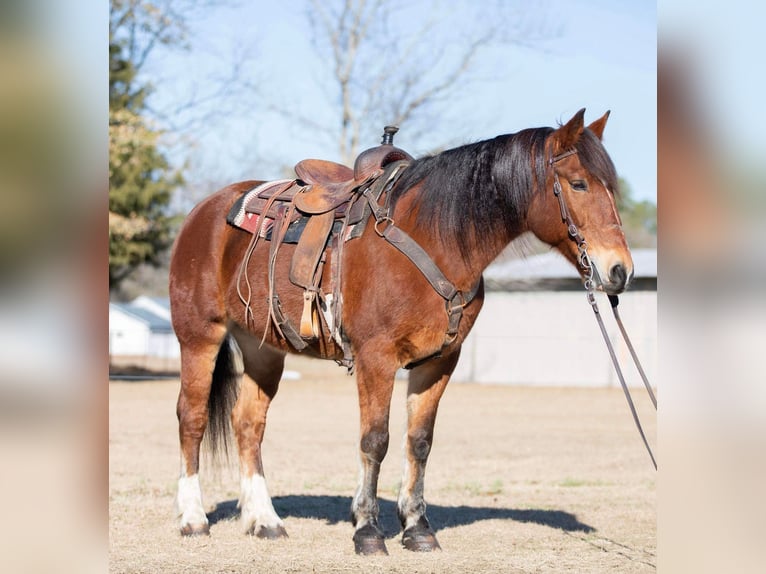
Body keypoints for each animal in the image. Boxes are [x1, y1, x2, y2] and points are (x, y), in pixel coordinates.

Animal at [172, 109, 636, 560]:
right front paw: (367, 531)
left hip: (264, 349)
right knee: (192, 418)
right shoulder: (376, 359)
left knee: (249, 424)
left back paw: (264, 520)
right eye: (578, 183)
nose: (620, 270)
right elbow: (375, 441)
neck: (435, 240)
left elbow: (419, 443)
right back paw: (193, 518)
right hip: (199, 336)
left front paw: (417, 528)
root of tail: (204, 211)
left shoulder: (438, 362)